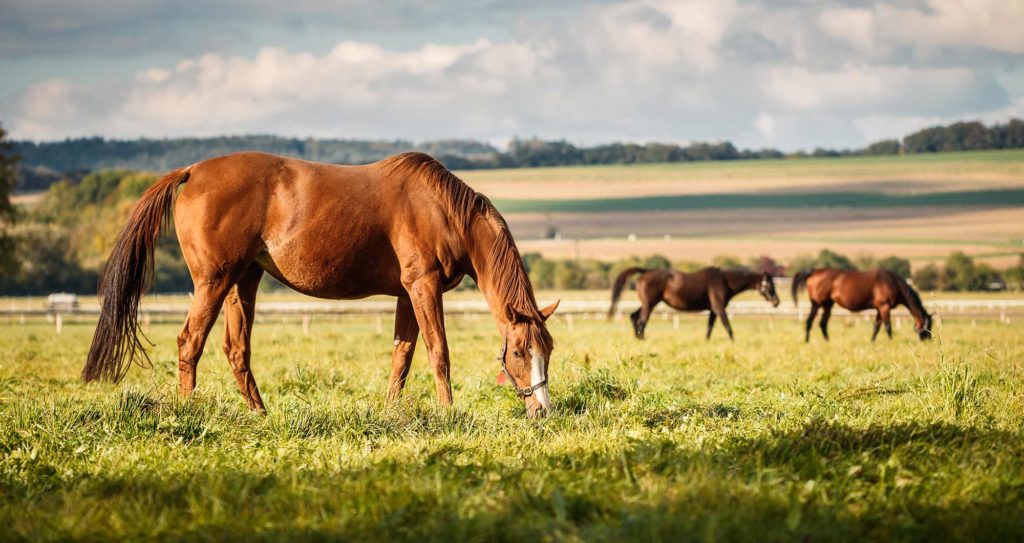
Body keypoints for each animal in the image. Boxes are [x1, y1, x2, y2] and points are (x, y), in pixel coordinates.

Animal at [82, 152, 560, 417]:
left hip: (243, 281)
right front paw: (448, 413)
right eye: (519, 352)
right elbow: (437, 352)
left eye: (548, 351)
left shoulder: (407, 295)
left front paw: (392, 413)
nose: (542, 411)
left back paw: (260, 414)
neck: (442, 210)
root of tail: (193, 171)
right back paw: (188, 411)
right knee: (190, 341)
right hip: (213, 281)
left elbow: (402, 356)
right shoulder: (423, 288)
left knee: (236, 350)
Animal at [608, 267, 780, 340]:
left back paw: (638, 338)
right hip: (650, 304)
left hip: (648, 303)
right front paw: (733, 341)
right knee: (642, 321)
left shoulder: (712, 310)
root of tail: (645, 272)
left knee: (634, 316)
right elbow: (727, 326)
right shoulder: (719, 308)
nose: (777, 301)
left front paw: (707, 341)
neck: (725, 281)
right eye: (769, 285)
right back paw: (642, 339)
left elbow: (709, 327)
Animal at [791, 268, 933, 342]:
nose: (928, 339)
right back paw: (808, 341)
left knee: (822, 323)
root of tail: (814, 271)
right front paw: (891, 341)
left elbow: (877, 326)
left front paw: (872, 341)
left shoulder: (879, 309)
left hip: (827, 305)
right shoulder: (884, 307)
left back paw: (826, 341)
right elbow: (887, 326)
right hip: (817, 304)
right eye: (928, 325)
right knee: (810, 321)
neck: (893, 283)